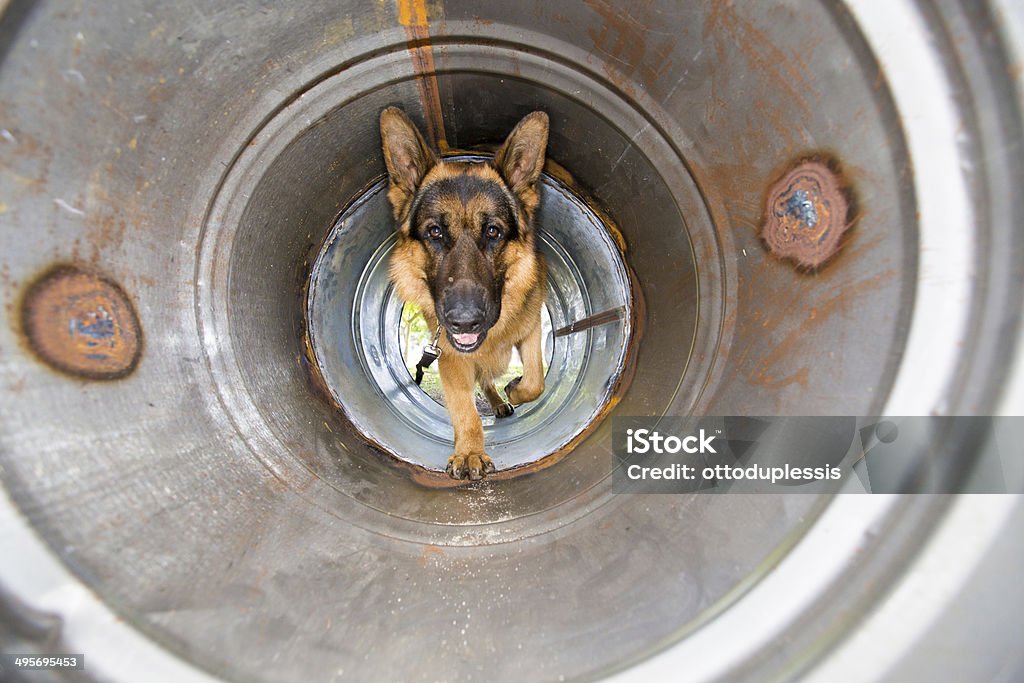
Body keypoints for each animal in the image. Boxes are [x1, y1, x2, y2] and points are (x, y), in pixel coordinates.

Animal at [378, 108, 552, 481]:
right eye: (435, 231)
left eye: (493, 231)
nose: (464, 321)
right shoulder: (450, 356)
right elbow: (464, 409)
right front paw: (470, 451)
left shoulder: (531, 327)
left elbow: (536, 381)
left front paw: (516, 388)